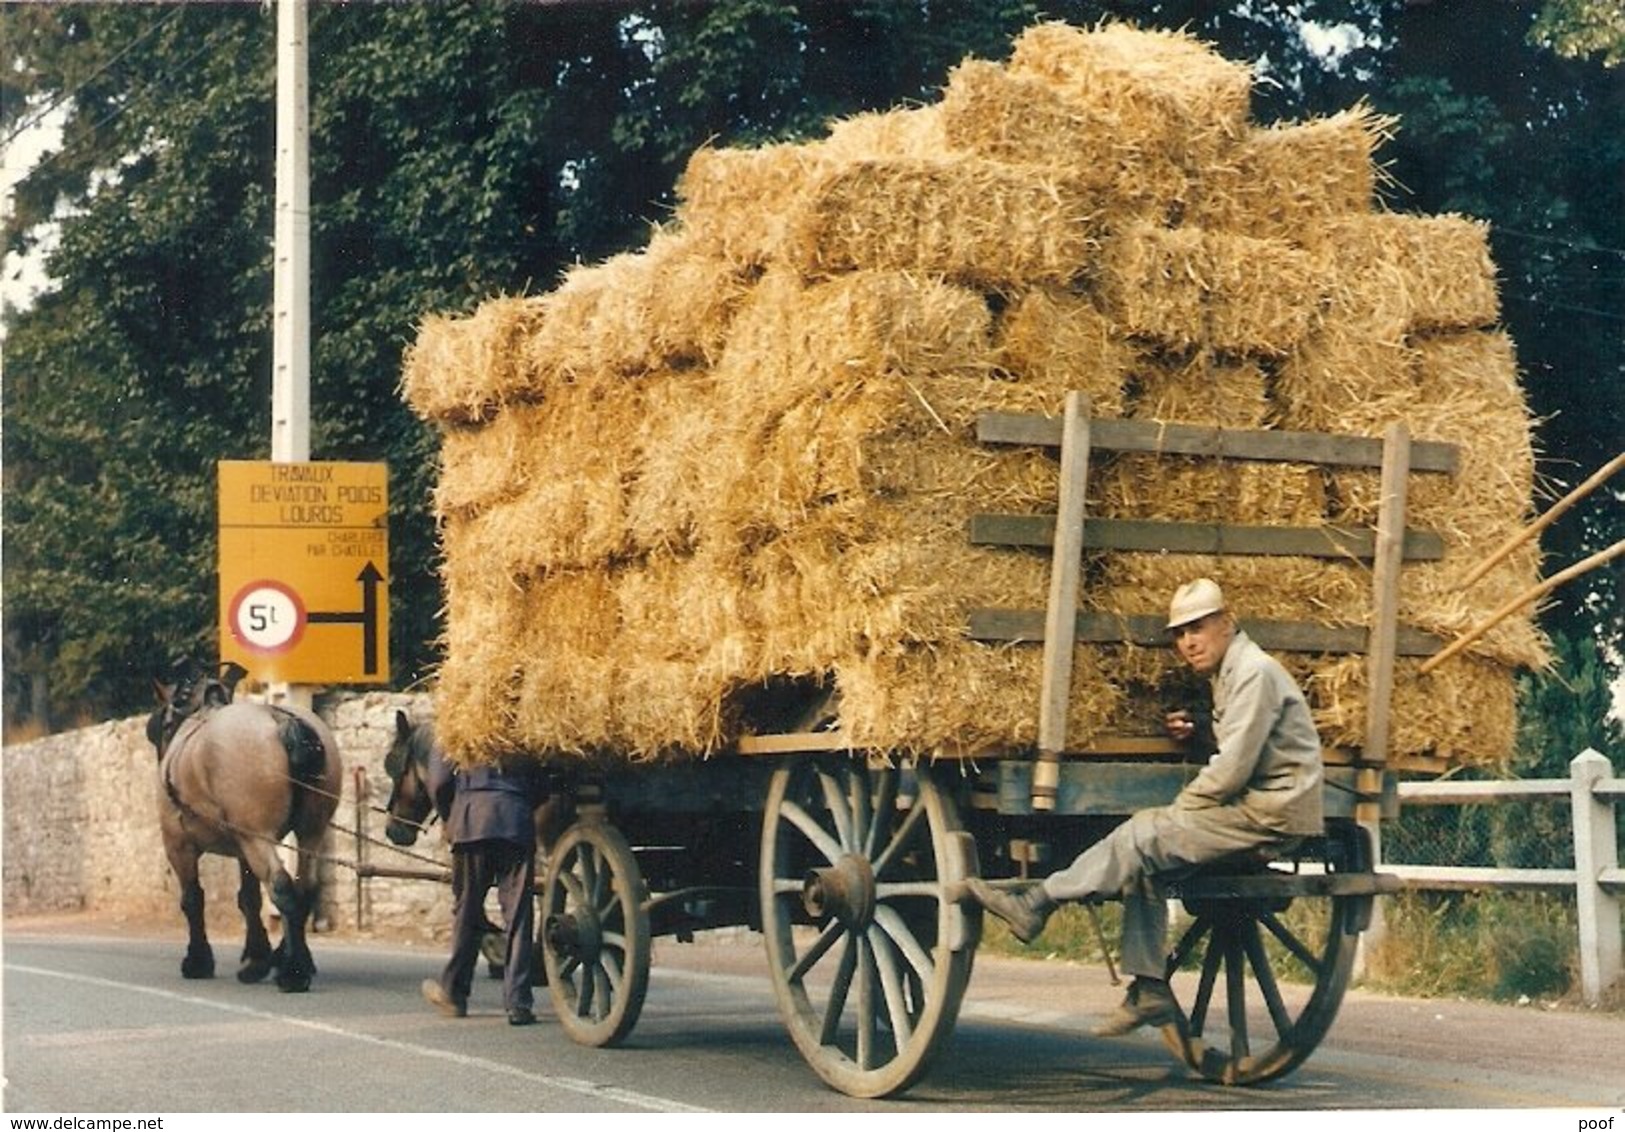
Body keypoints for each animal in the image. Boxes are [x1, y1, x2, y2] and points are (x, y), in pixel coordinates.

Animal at [150, 659, 346, 993]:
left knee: (282, 886)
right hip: (308, 832)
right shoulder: (243, 846)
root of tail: (280, 719)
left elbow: (193, 898)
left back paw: (293, 973)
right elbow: (250, 899)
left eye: (164, 726)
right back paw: (293, 960)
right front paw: (256, 959)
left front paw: (199, 961)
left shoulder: (178, 844)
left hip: (259, 840)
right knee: (304, 888)